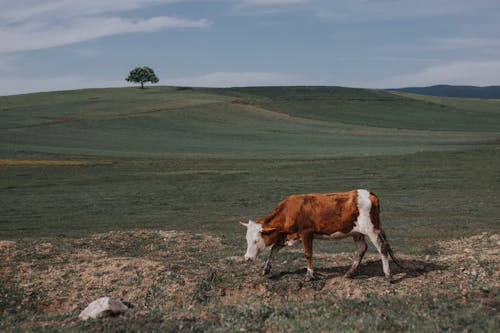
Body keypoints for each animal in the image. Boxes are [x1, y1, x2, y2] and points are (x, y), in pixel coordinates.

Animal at [240, 189, 400, 280]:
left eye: (255, 240)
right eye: (247, 239)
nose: (247, 258)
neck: (290, 211)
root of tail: (369, 194)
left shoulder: (306, 233)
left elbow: (308, 254)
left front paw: (309, 275)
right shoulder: (288, 235)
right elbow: (274, 249)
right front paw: (266, 269)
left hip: (372, 229)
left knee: (382, 248)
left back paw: (388, 275)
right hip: (357, 233)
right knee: (361, 249)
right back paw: (350, 273)